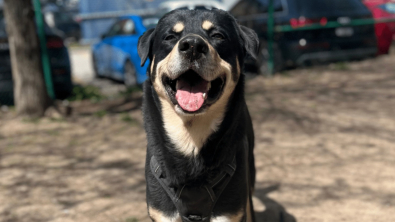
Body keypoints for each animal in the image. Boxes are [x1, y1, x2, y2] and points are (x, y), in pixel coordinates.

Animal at [138, 8, 260, 222]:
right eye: (170, 37)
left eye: (218, 36)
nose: (192, 46)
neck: (191, 137)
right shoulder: (163, 212)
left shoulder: (230, 211)